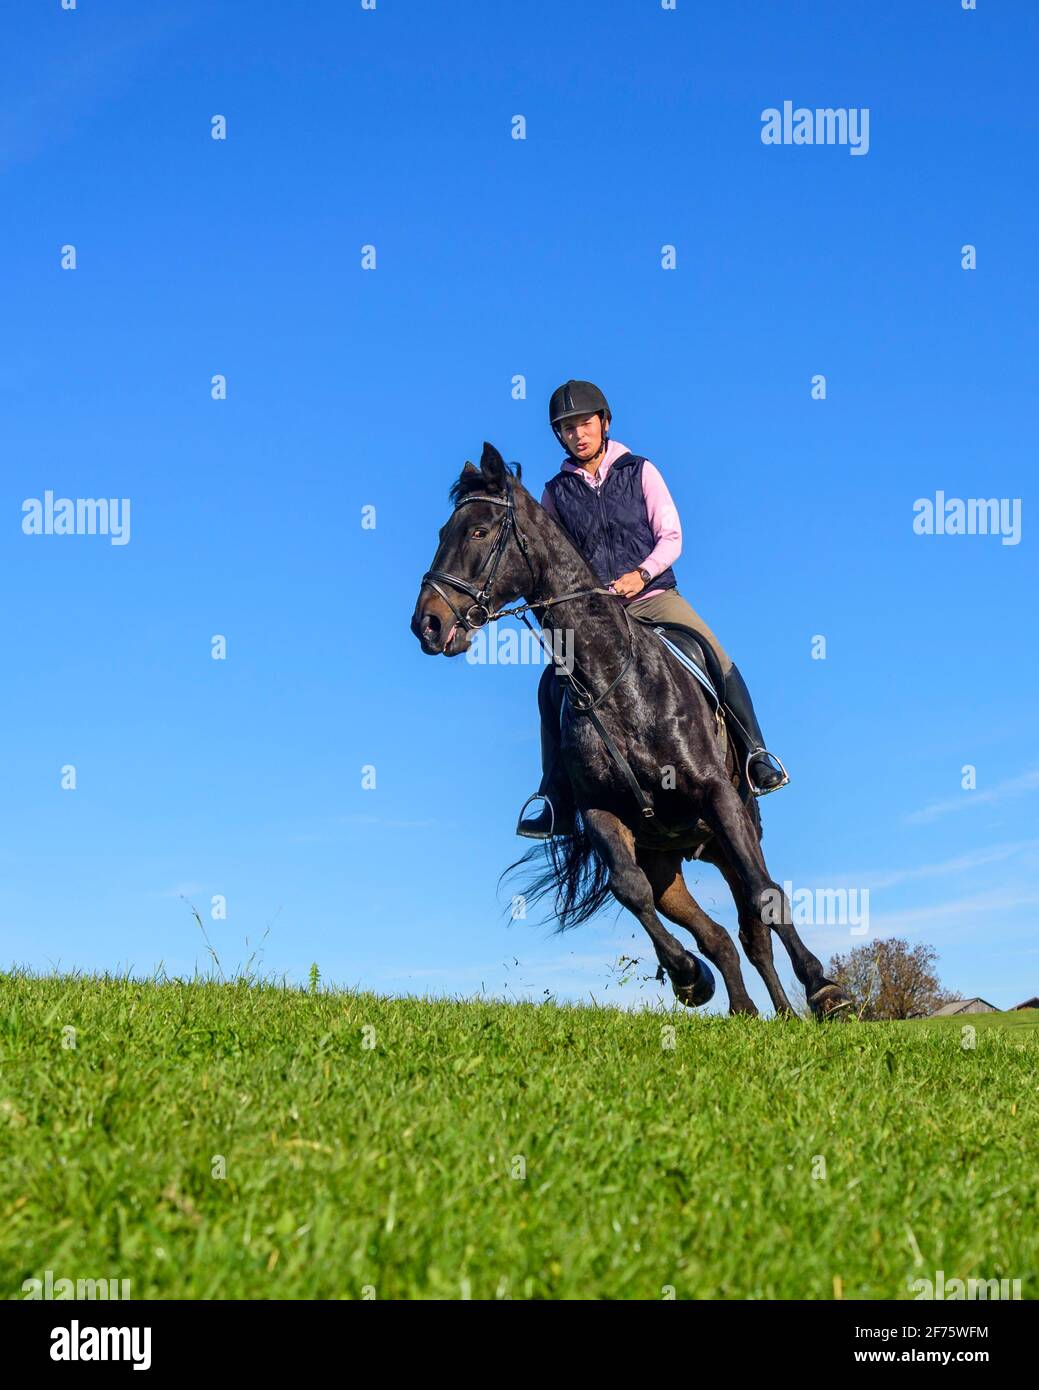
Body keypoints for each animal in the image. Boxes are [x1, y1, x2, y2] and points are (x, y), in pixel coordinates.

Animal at [410, 442, 852, 1020]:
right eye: (444, 531)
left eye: (479, 531)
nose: (427, 625)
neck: (611, 678)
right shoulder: (602, 813)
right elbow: (630, 890)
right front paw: (688, 978)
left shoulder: (717, 796)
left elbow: (764, 894)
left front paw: (824, 988)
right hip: (669, 859)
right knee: (720, 935)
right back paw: (746, 1010)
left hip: (732, 830)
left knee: (756, 915)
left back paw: (790, 1007)